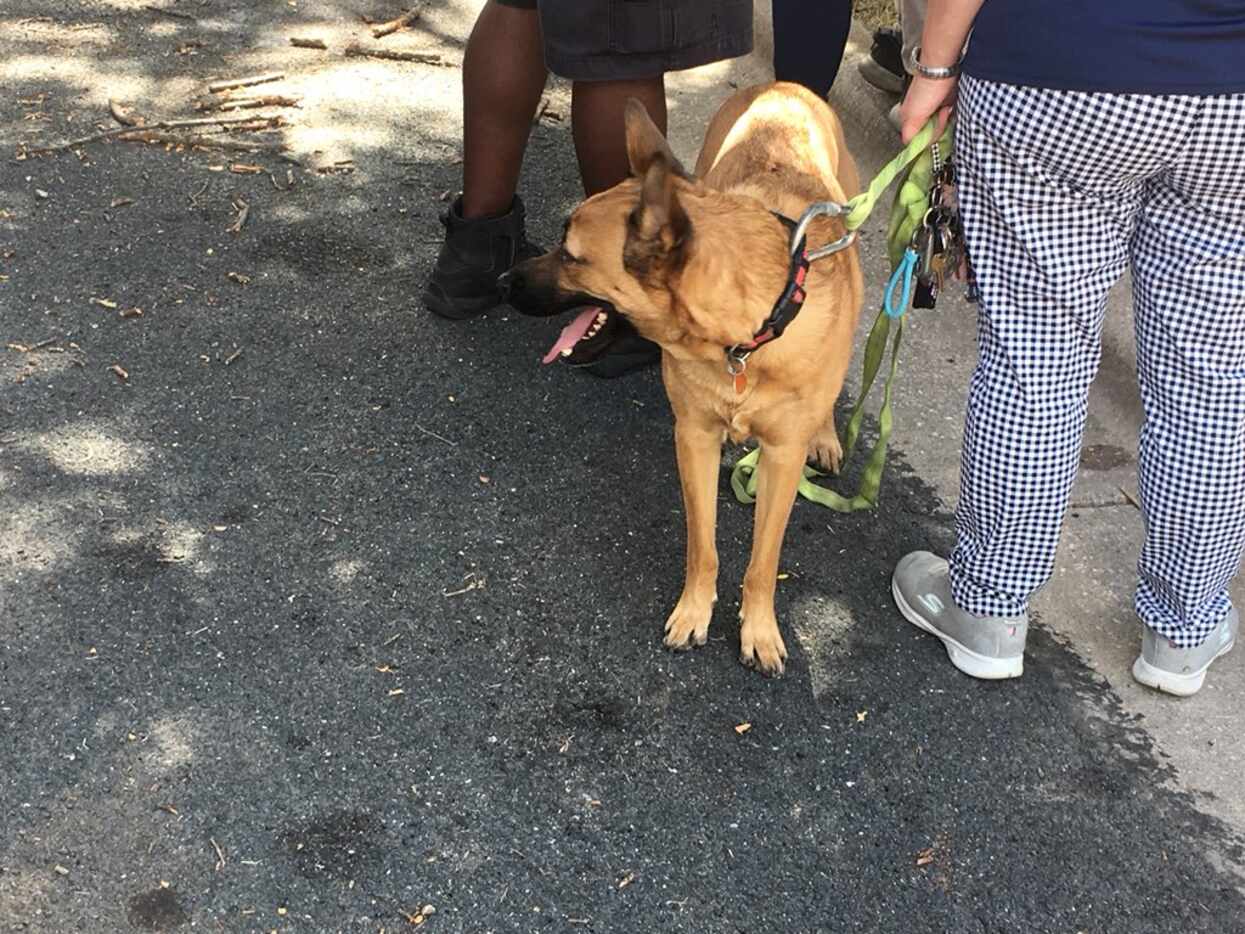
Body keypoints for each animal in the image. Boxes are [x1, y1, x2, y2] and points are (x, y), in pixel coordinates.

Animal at [500, 84, 861, 677]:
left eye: (572, 257)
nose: (505, 281)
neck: (747, 337)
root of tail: (782, 88)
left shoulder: (782, 457)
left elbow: (763, 562)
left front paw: (759, 629)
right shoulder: (693, 437)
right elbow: (703, 544)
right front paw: (695, 611)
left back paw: (826, 434)